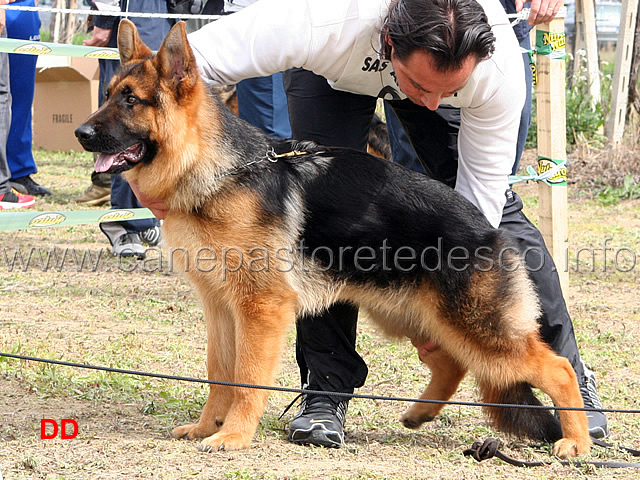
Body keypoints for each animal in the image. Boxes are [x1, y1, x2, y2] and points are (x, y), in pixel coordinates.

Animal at [76, 20, 592, 460]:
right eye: (108, 95)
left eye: (131, 101)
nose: (81, 132)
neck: (217, 170)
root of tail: (488, 228)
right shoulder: (220, 308)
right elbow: (219, 373)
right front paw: (207, 427)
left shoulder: (260, 310)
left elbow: (246, 379)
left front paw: (234, 436)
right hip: (413, 316)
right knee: (453, 365)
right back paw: (420, 413)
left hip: (476, 329)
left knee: (557, 369)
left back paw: (578, 441)